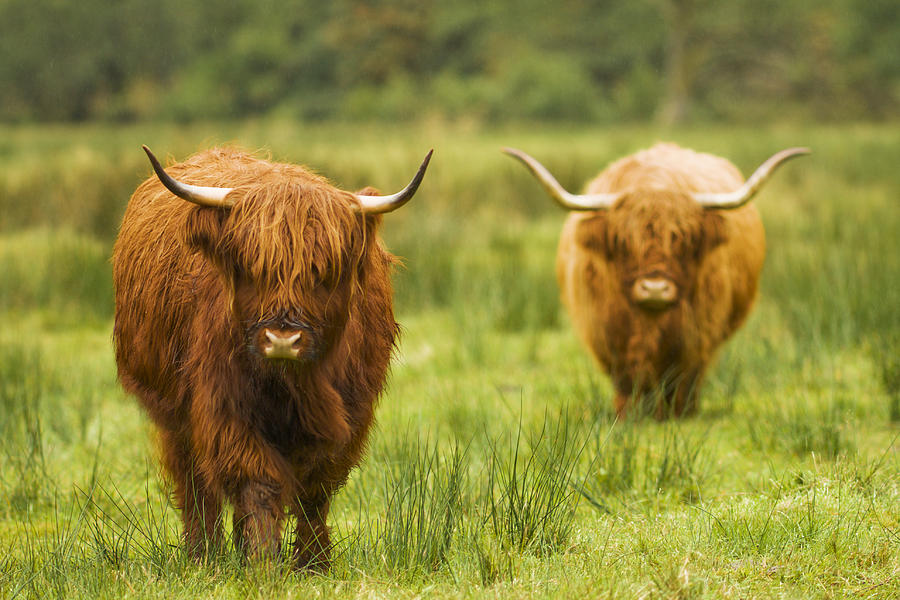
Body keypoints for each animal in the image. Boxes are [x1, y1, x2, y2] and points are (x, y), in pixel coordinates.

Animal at [112, 145, 432, 568]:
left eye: (323, 271)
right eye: (250, 268)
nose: (282, 339)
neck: (296, 385)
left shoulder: (350, 413)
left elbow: (315, 489)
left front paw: (313, 562)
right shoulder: (225, 408)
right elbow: (258, 481)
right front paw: (263, 560)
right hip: (173, 411)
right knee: (194, 482)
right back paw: (204, 554)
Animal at [506, 144, 808, 420]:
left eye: (685, 239)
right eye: (622, 241)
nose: (654, 289)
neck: (650, 325)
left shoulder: (697, 334)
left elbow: (682, 377)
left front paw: (678, 414)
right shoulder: (606, 333)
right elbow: (627, 379)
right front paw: (629, 416)